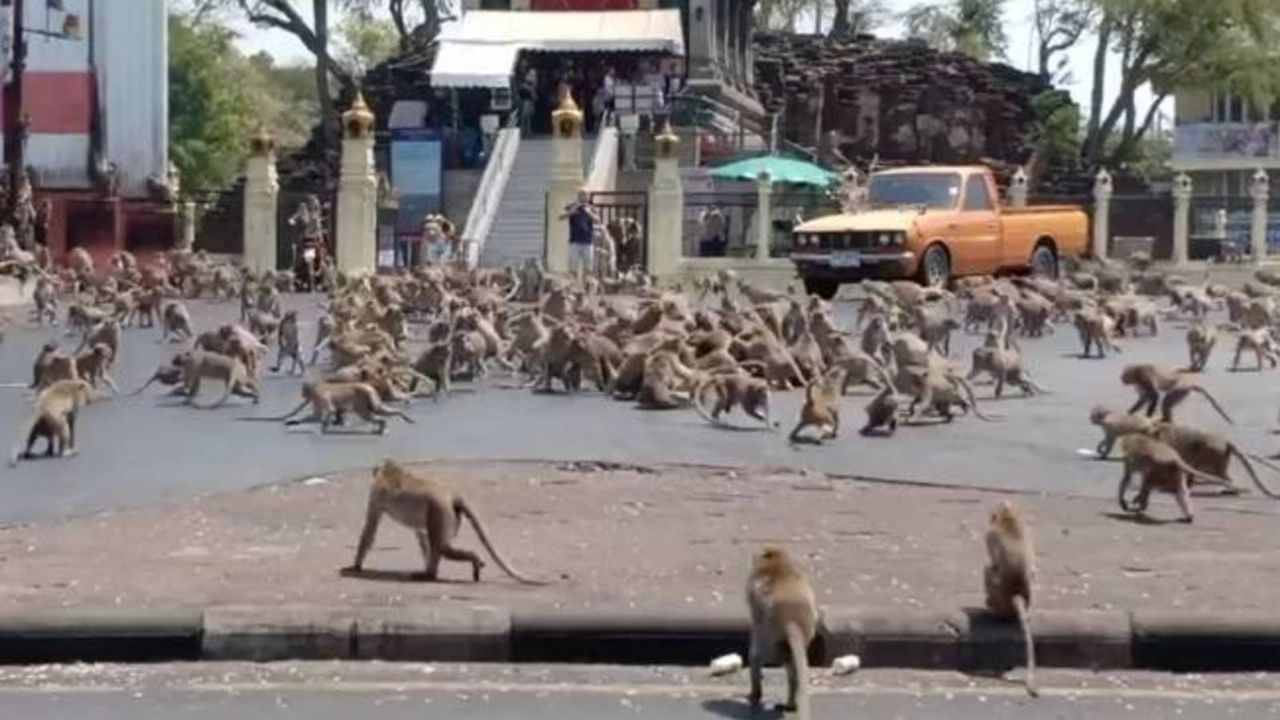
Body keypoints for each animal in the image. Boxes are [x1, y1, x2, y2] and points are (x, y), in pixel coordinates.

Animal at [342, 460, 545, 584]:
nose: (373, 471)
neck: (391, 470)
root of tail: (451, 495)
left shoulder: (376, 495)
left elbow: (370, 529)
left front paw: (355, 566)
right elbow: (421, 534)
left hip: (442, 510)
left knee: (442, 548)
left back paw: (458, 564)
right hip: (447, 514)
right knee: (437, 545)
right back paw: (430, 573)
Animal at [745, 547, 818, 720]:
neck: (777, 562)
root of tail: (793, 619)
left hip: (771, 639)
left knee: (756, 654)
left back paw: (755, 694)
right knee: (792, 668)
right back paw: (790, 704)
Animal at [984, 501, 1038, 698]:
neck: (1009, 516)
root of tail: (1017, 593)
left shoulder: (990, 535)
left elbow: (992, 564)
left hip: (998, 595)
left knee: (989, 571)